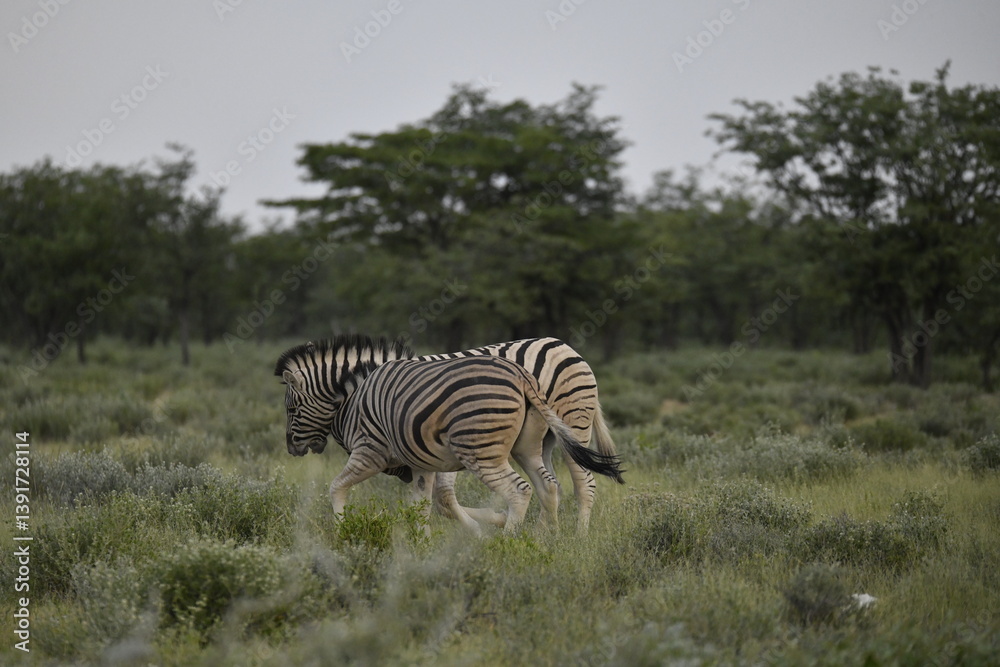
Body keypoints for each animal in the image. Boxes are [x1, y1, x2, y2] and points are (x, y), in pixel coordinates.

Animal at [274, 335, 618, 532]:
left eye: (291, 409)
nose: (292, 448)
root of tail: (563, 344)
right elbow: (437, 502)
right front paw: (491, 522)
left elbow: (442, 498)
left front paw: (486, 527)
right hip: (541, 438)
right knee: (551, 485)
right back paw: (547, 534)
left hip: (574, 422)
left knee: (584, 484)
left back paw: (579, 537)